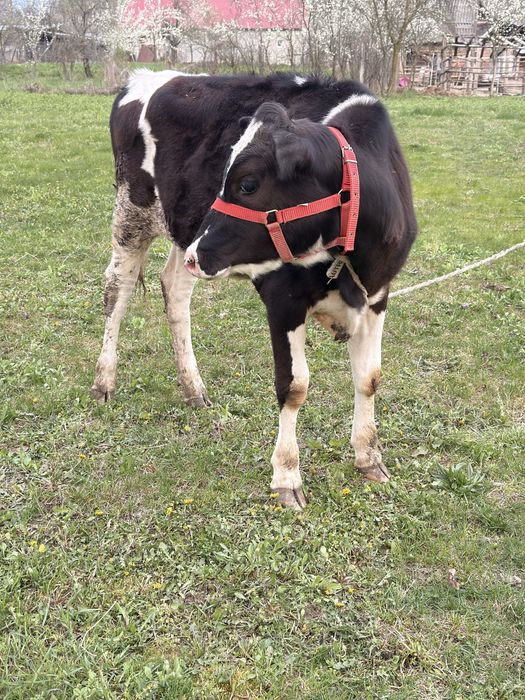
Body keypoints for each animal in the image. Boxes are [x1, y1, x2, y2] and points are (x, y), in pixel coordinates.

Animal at [92, 69, 417, 509]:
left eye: (247, 184)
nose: (200, 252)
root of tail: (146, 77)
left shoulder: (377, 296)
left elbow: (369, 378)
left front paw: (369, 457)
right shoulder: (284, 300)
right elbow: (294, 386)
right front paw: (287, 475)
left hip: (183, 231)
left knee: (174, 288)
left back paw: (193, 387)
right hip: (133, 212)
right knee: (117, 290)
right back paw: (104, 381)